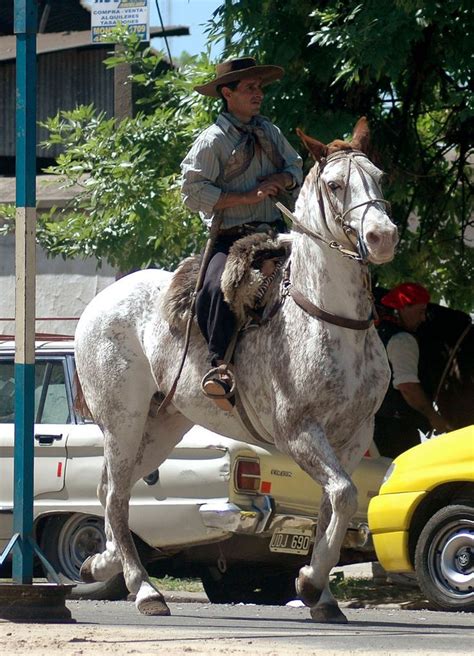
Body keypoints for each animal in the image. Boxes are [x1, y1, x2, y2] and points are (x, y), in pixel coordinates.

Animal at [75, 118, 400, 624]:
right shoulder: (298, 432)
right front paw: (309, 583)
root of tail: (101, 302)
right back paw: (144, 590)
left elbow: (332, 507)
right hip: (122, 421)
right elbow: (345, 495)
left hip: (160, 424)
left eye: (379, 178)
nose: (384, 237)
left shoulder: (353, 436)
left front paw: (322, 597)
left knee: (114, 489)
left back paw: (101, 564)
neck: (326, 318)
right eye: (334, 184)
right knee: (115, 496)